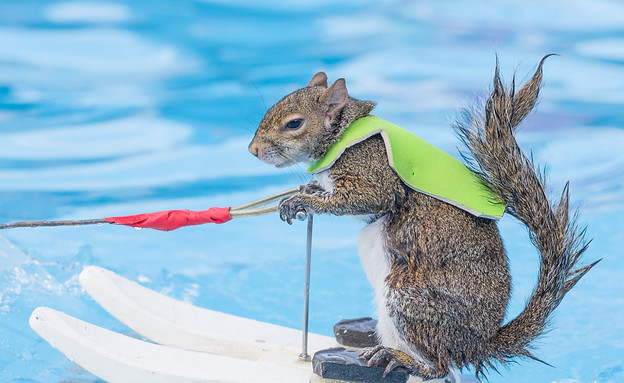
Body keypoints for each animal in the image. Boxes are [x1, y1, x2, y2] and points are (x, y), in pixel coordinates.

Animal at [246, 57, 596, 380]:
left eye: (294, 123)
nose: (253, 150)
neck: (345, 134)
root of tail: (479, 345)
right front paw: (308, 190)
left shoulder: (372, 174)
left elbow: (364, 199)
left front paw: (300, 200)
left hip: (410, 302)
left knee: (440, 366)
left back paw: (401, 359)